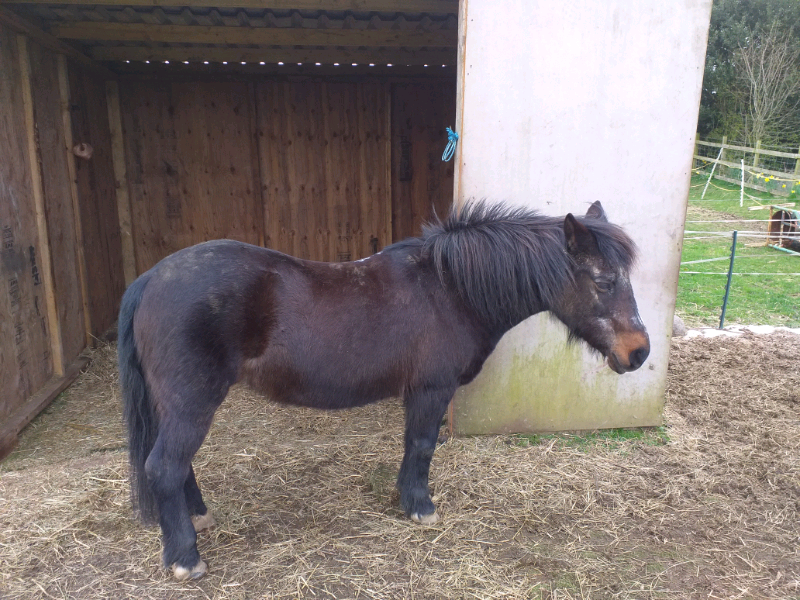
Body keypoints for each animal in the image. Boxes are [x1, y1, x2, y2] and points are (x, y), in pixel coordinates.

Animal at [118, 200, 650, 580]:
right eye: (604, 281)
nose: (639, 353)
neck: (450, 289)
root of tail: (150, 279)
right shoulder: (431, 389)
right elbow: (422, 446)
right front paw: (420, 507)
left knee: (174, 464)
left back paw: (197, 519)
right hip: (193, 400)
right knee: (164, 466)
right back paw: (185, 558)